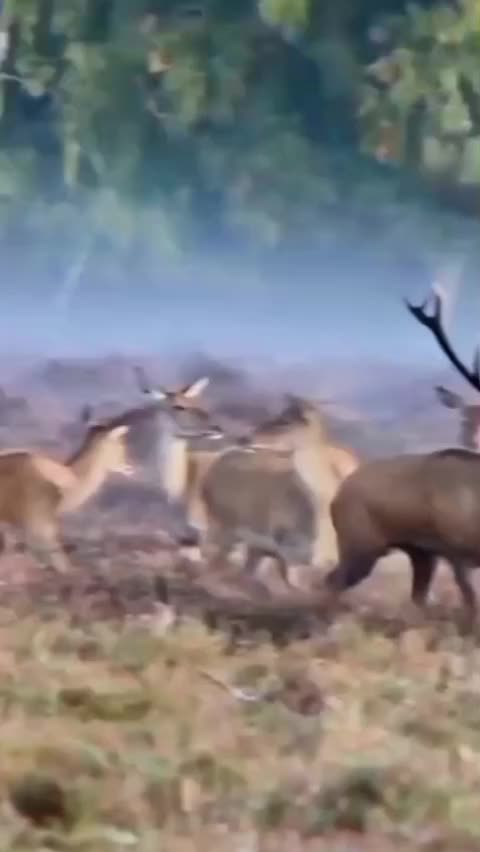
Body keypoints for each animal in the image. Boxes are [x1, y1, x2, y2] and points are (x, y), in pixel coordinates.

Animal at [323, 291, 480, 628]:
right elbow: (471, 603)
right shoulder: (455, 547)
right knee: (331, 581)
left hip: (418, 552)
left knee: (416, 598)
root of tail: (337, 495)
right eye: (466, 417)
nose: (471, 438)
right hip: (359, 542)